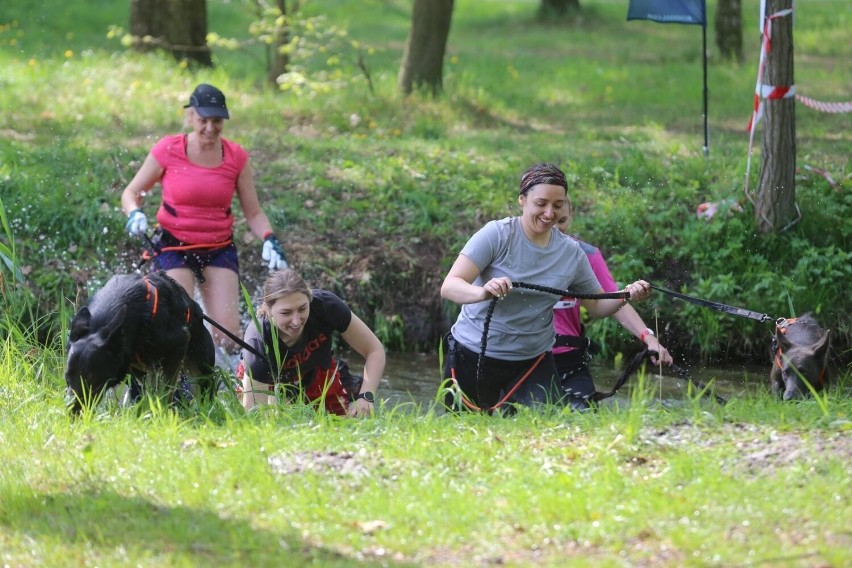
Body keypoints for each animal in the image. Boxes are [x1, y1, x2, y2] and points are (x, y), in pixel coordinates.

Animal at [64, 270, 215, 412]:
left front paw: (162, 412)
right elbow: (145, 395)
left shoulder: (179, 346)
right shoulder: (135, 369)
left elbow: (166, 391)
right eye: (67, 377)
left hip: (201, 370)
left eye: (89, 377)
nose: (70, 411)